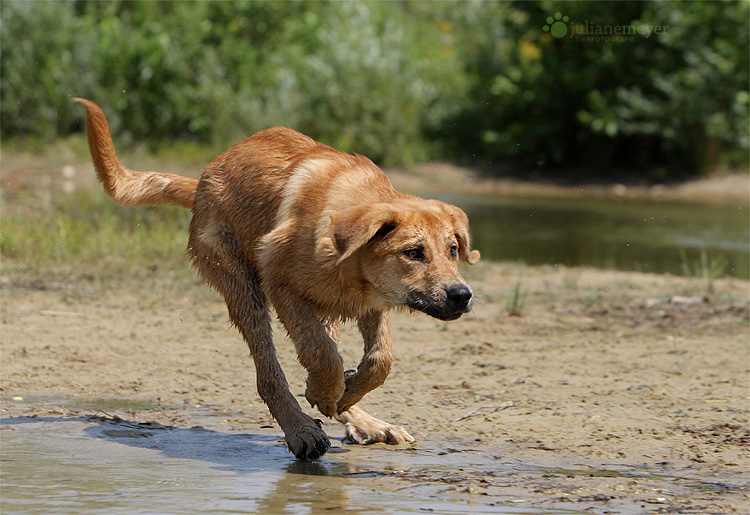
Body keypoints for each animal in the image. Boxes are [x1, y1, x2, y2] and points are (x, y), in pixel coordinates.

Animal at [72, 99, 482, 462]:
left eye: (452, 249)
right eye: (413, 252)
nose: (462, 295)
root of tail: (203, 179)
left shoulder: (372, 300)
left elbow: (380, 359)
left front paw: (347, 394)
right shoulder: (282, 285)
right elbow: (323, 357)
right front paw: (327, 395)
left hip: (321, 310)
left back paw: (361, 419)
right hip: (244, 290)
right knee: (270, 374)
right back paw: (301, 429)